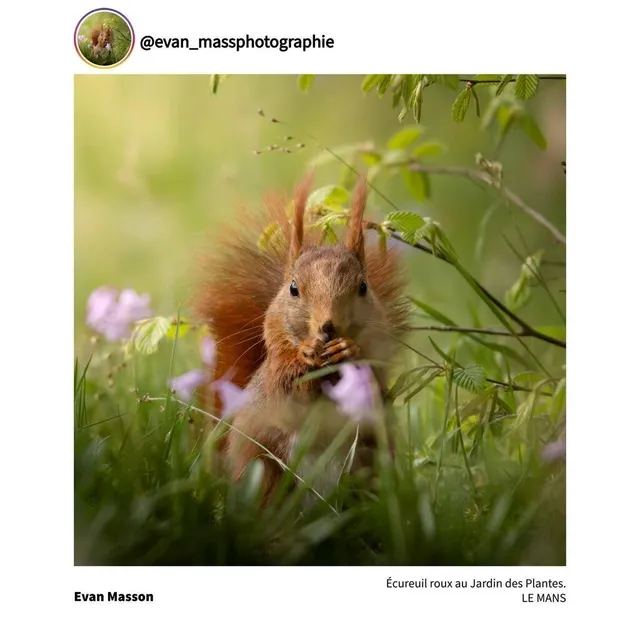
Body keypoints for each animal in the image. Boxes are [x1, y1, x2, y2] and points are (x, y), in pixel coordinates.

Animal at [194, 174, 409, 502]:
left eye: (363, 287)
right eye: (293, 288)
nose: (328, 327)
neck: (327, 372)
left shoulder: (376, 369)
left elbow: (370, 381)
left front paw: (348, 349)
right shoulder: (276, 375)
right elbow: (289, 397)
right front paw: (306, 353)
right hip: (262, 468)